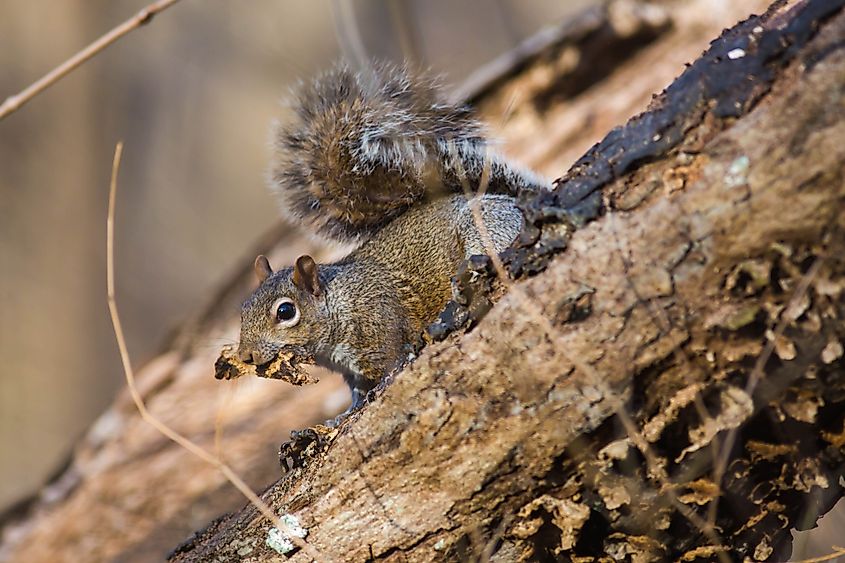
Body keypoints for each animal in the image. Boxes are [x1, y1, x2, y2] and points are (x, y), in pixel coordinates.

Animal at [237, 62, 548, 417]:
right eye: (243, 309)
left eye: (286, 312)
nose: (245, 355)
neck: (339, 303)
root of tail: (515, 203)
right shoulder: (352, 373)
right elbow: (357, 393)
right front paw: (345, 413)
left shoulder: (381, 324)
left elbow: (393, 360)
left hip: (484, 230)